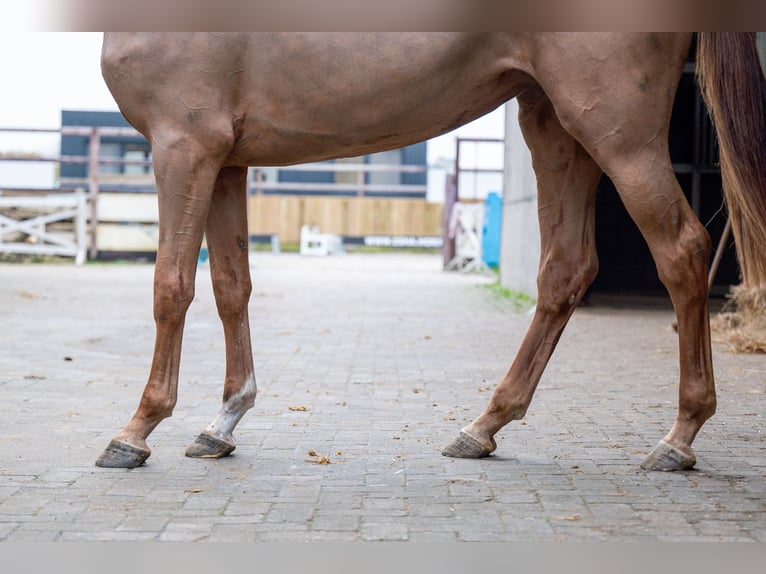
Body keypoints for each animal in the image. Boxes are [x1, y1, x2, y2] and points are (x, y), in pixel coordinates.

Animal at [97, 32, 766, 472]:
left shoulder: (184, 145)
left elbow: (171, 286)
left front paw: (137, 430)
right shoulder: (226, 160)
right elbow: (231, 286)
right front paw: (223, 422)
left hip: (617, 132)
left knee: (682, 249)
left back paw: (678, 438)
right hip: (555, 125)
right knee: (565, 270)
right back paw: (483, 427)